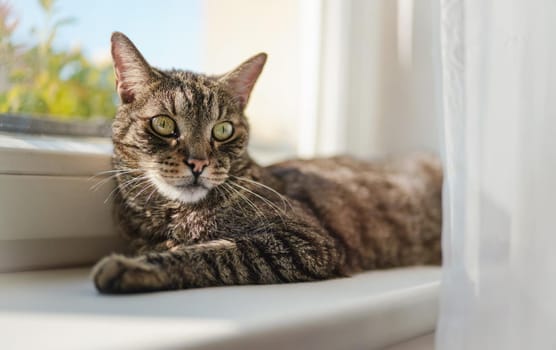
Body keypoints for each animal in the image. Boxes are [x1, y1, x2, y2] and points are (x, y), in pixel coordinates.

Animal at [91, 31, 440, 294]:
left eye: (223, 130)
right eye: (164, 124)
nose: (198, 163)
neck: (175, 214)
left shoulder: (306, 242)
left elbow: (216, 254)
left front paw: (134, 266)